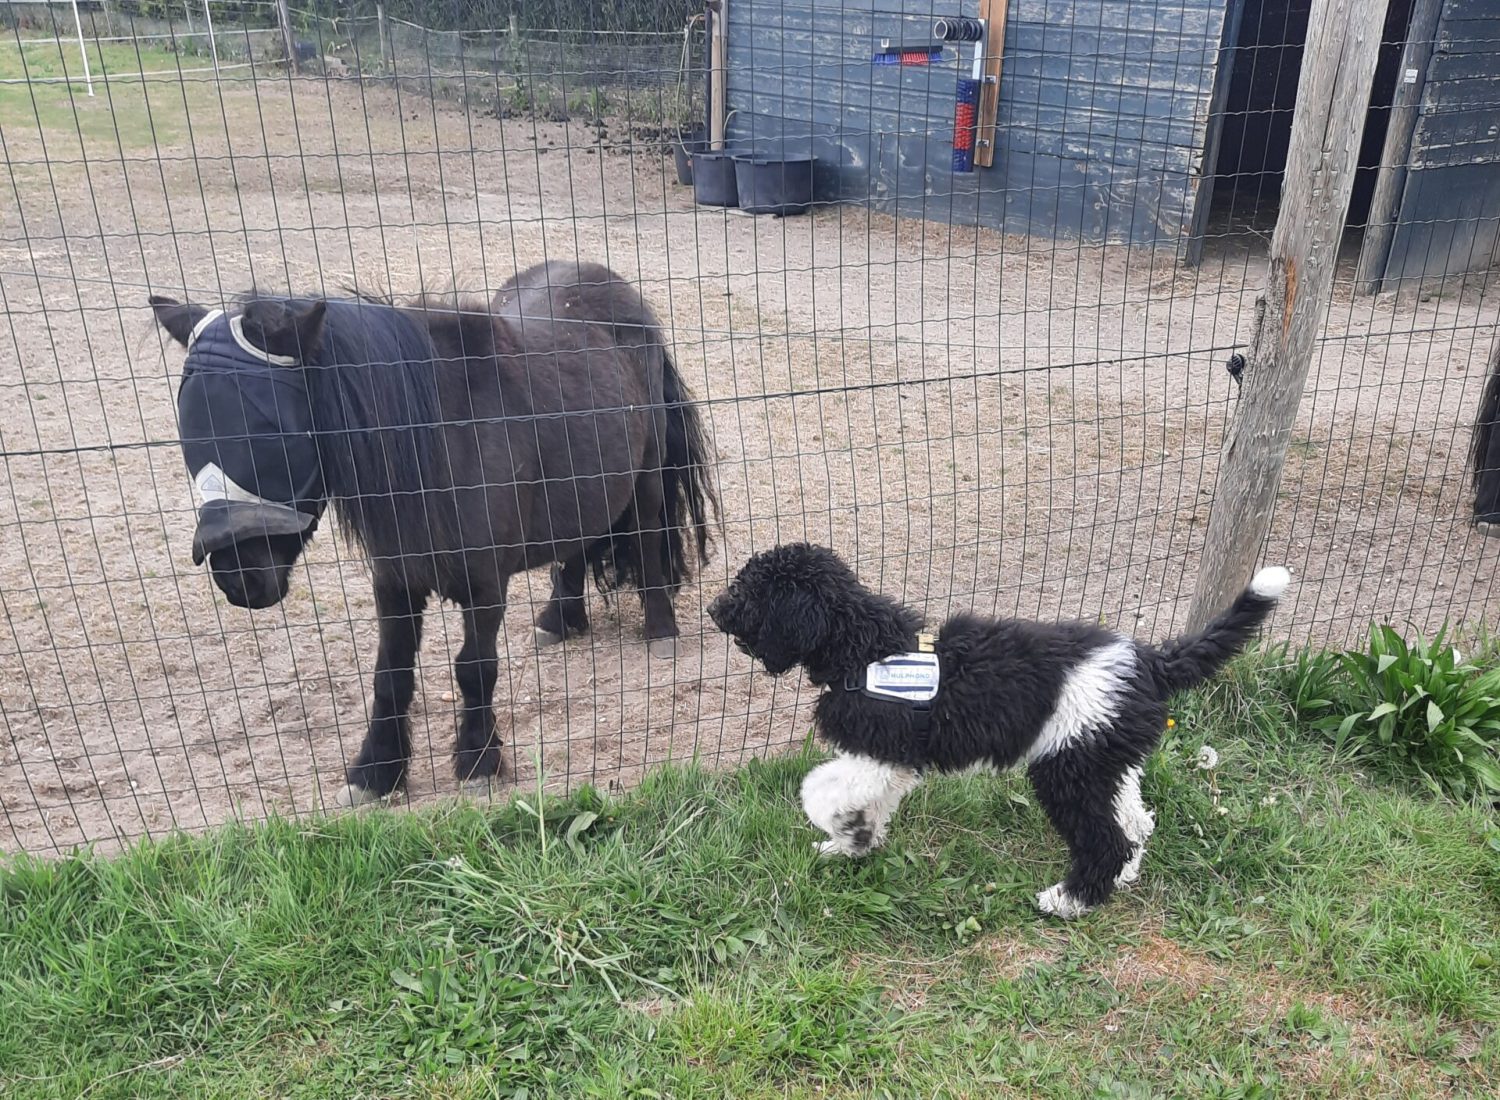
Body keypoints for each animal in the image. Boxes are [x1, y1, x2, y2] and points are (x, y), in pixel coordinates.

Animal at [155, 261, 717, 804]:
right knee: (577, 542)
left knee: (646, 535)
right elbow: (391, 674)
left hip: (646, 478)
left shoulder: (486, 585)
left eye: (271, 433)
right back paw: (560, 618)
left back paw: (659, 629)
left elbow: (474, 668)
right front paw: (376, 772)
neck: (440, 441)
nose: (239, 579)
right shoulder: (396, 582)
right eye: (189, 431)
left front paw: (479, 762)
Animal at [705, 543, 1290, 918]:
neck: (863, 645)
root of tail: (1149, 660)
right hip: (1104, 760)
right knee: (1135, 823)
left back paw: (1071, 900)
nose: (713, 608)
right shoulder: (889, 761)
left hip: (1068, 770)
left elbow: (818, 791)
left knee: (1107, 838)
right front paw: (853, 842)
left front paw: (846, 832)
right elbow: (862, 801)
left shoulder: (879, 752)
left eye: (750, 592)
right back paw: (1120, 879)